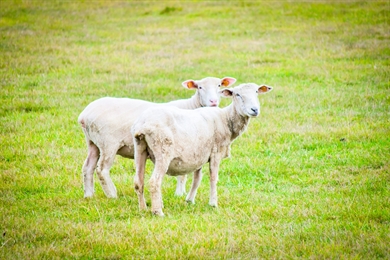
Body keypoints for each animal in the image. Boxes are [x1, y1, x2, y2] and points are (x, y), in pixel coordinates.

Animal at [77, 76, 236, 198]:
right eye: (200, 87)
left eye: (219, 85)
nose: (213, 102)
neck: (191, 107)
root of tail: (84, 115)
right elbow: (182, 174)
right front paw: (179, 194)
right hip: (108, 143)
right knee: (102, 169)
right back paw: (112, 195)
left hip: (93, 142)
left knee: (88, 167)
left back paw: (89, 195)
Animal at [131, 83, 272, 215]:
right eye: (237, 94)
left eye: (256, 92)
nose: (254, 109)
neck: (226, 119)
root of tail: (143, 124)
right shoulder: (216, 152)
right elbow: (213, 178)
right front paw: (213, 203)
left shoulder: (199, 154)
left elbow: (197, 179)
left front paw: (190, 200)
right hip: (163, 150)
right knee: (154, 182)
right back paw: (158, 211)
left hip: (139, 148)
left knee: (139, 182)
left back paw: (143, 209)